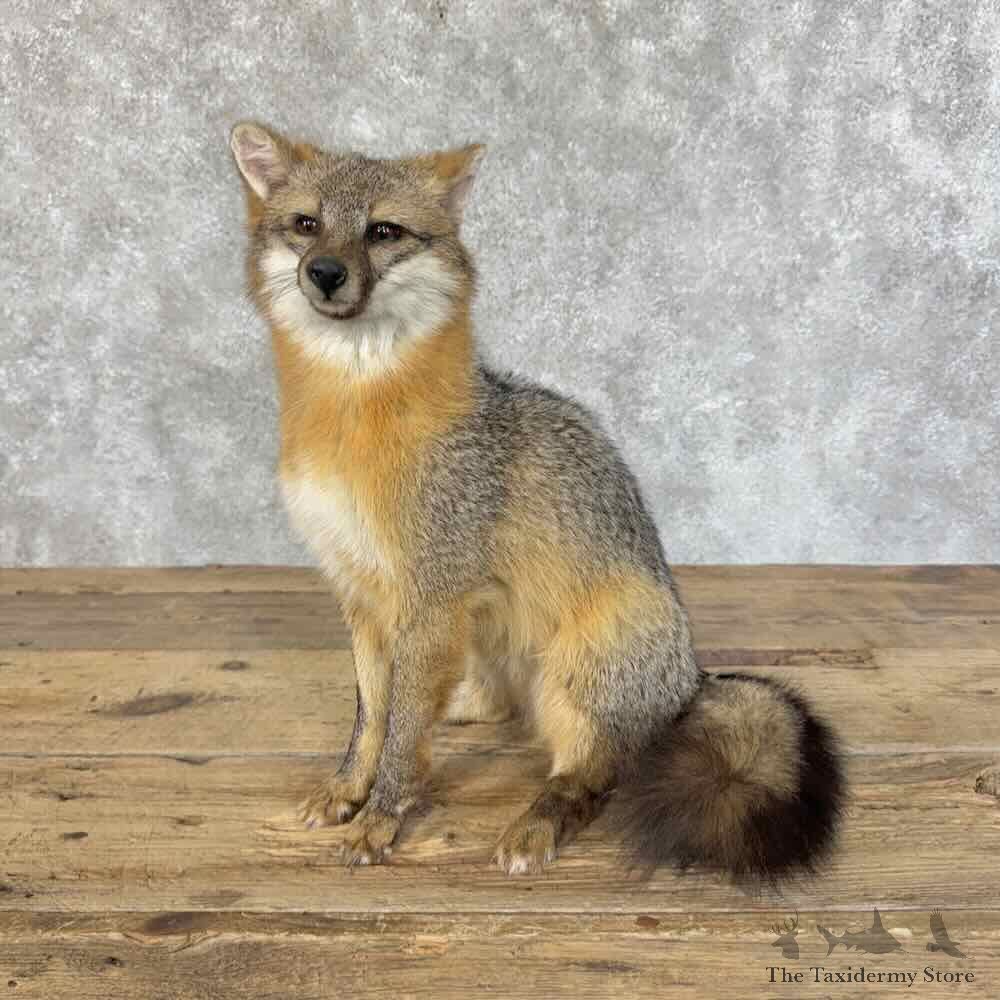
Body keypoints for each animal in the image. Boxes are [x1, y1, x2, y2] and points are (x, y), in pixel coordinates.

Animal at [229, 120, 845, 877]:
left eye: (382, 232)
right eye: (307, 226)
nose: (324, 273)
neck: (351, 420)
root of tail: (690, 681)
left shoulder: (430, 597)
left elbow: (401, 735)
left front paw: (381, 817)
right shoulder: (361, 595)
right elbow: (374, 717)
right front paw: (349, 789)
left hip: (575, 673)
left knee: (592, 776)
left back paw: (536, 823)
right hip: (490, 642)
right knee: (493, 709)